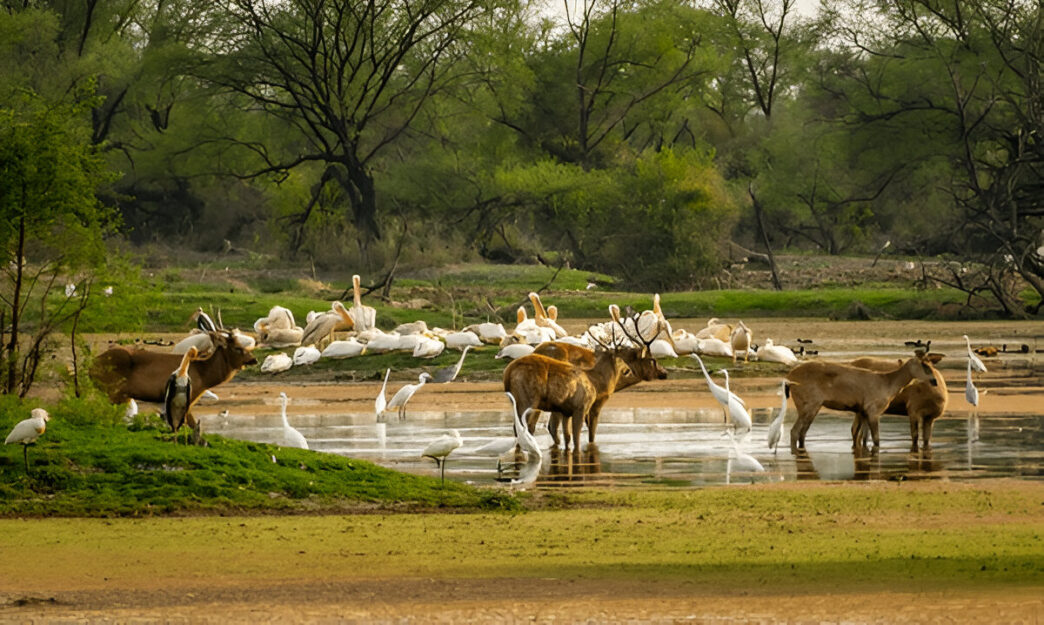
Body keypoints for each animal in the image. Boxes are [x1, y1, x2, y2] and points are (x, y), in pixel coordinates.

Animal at [785, 352, 943, 450]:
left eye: (931, 364)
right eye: (924, 365)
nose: (934, 381)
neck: (889, 385)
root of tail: (788, 378)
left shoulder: (863, 410)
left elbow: (862, 437)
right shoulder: (873, 409)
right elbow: (876, 439)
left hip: (810, 405)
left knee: (802, 432)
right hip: (809, 403)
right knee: (795, 431)